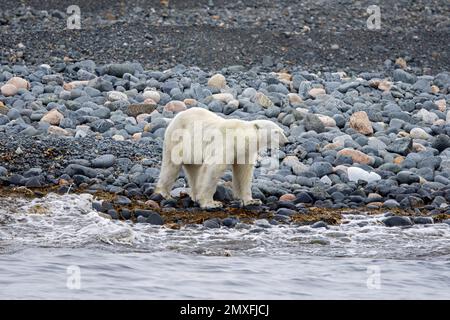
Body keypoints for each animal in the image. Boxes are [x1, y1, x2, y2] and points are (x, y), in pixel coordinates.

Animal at [155, 106, 288, 209]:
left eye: (282, 130)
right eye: (276, 132)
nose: (287, 142)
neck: (239, 137)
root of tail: (175, 117)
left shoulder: (244, 152)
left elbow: (243, 173)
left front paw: (252, 201)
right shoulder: (225, 144)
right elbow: (213, 169)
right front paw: (211, 203)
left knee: (194, 170)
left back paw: (194, 195)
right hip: (177, 141)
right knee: (171, 167)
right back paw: (164, 193)